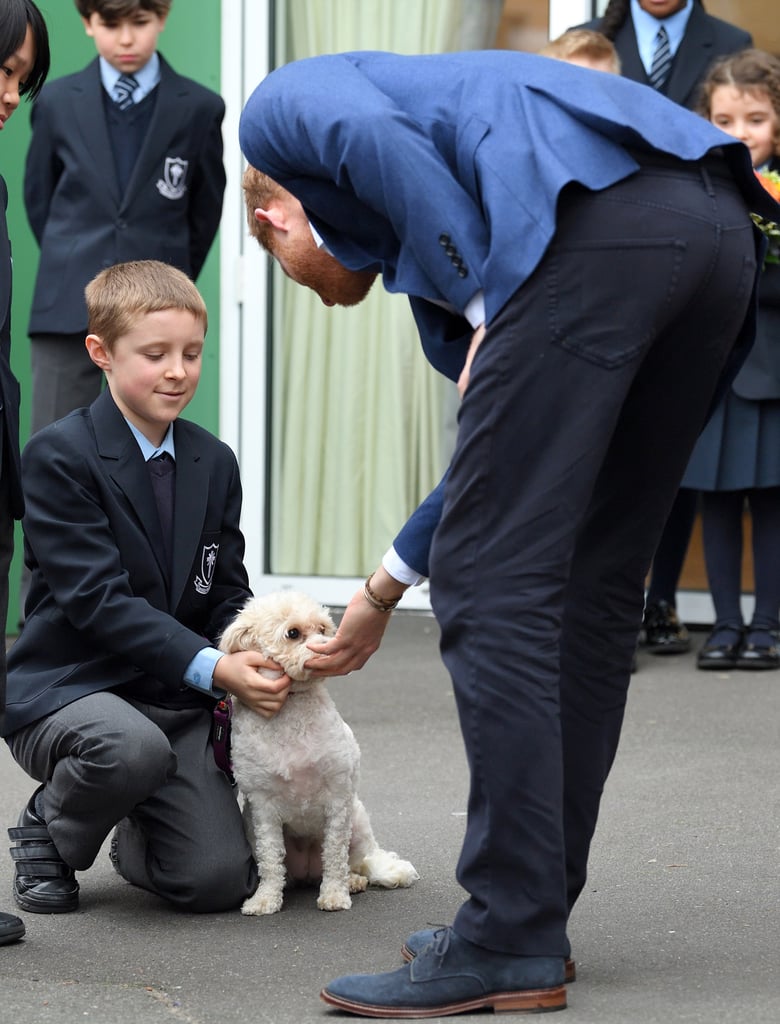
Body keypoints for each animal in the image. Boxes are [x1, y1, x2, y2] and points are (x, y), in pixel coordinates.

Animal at [217, 589, 419, 917]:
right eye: (293, 633)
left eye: (323, 628)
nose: (327, 647)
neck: (292, 706)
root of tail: (307, 872)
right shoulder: (262, 808)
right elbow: (271, 859)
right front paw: (265, 899)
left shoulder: (337, 799)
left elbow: (335, 854)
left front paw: (335, 895)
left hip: (357, 821)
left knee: (357, 861)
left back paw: (355, 880)